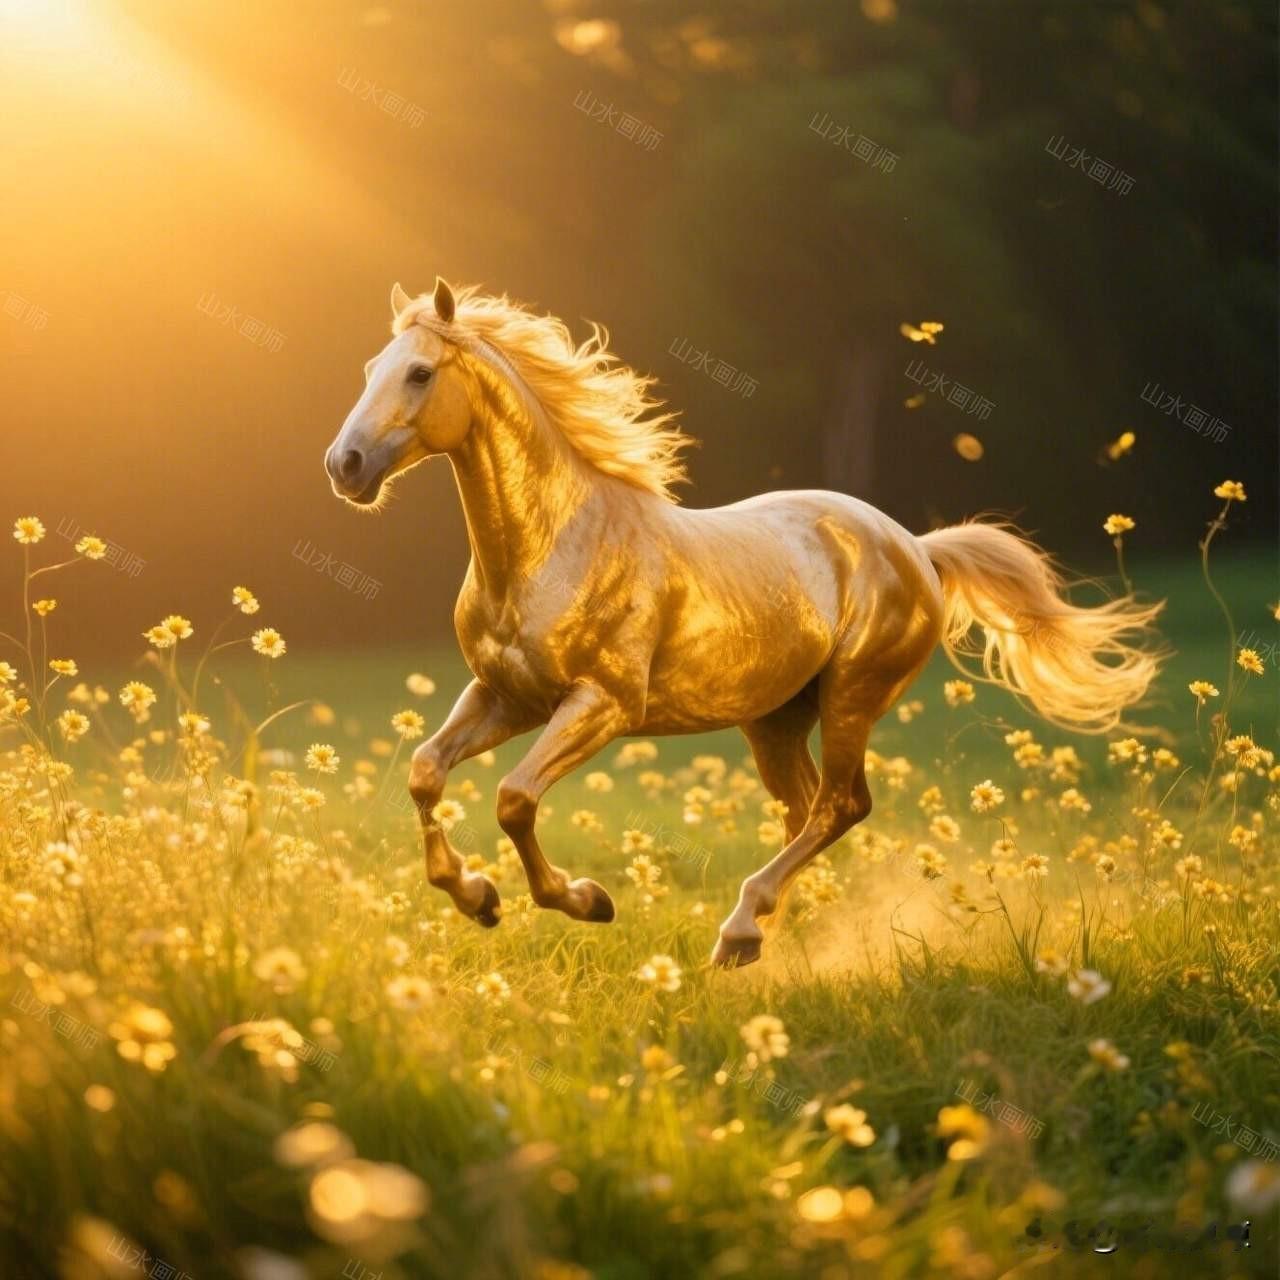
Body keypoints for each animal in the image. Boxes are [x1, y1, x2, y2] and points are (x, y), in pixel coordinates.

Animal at [324, 277, 1163, 967]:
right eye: (366, 371)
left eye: (420, 373)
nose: (346, 465)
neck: (551, 544)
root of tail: (918, 549)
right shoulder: (505, 696)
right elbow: (426, 771)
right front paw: (478, 899)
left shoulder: (602, 705)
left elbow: (514, 798)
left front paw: (586, 901)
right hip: (776, 719)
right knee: (807, 811)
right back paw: (774, 937)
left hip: (851, 697)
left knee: (840, 805)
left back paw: (739, 932)